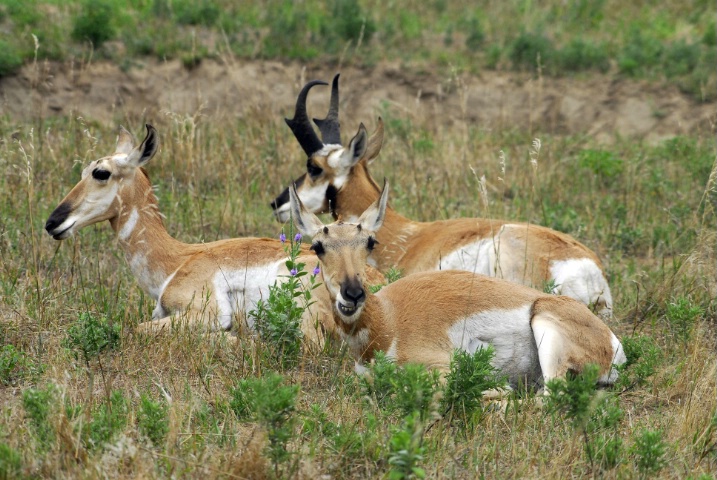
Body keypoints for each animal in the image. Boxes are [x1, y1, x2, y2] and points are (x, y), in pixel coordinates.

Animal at [44, 125, 338, 340]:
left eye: (101, 172)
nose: (52, 222)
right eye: (83, 170)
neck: (178, 260)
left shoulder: (207, 314)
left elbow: (137, 328)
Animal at [288, 184, 624, 390]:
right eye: (318, 246)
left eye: (369, 241)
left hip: (545, 325)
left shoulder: (439, 368)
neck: (387, 318)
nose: (353, 294)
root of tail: (613, 342)